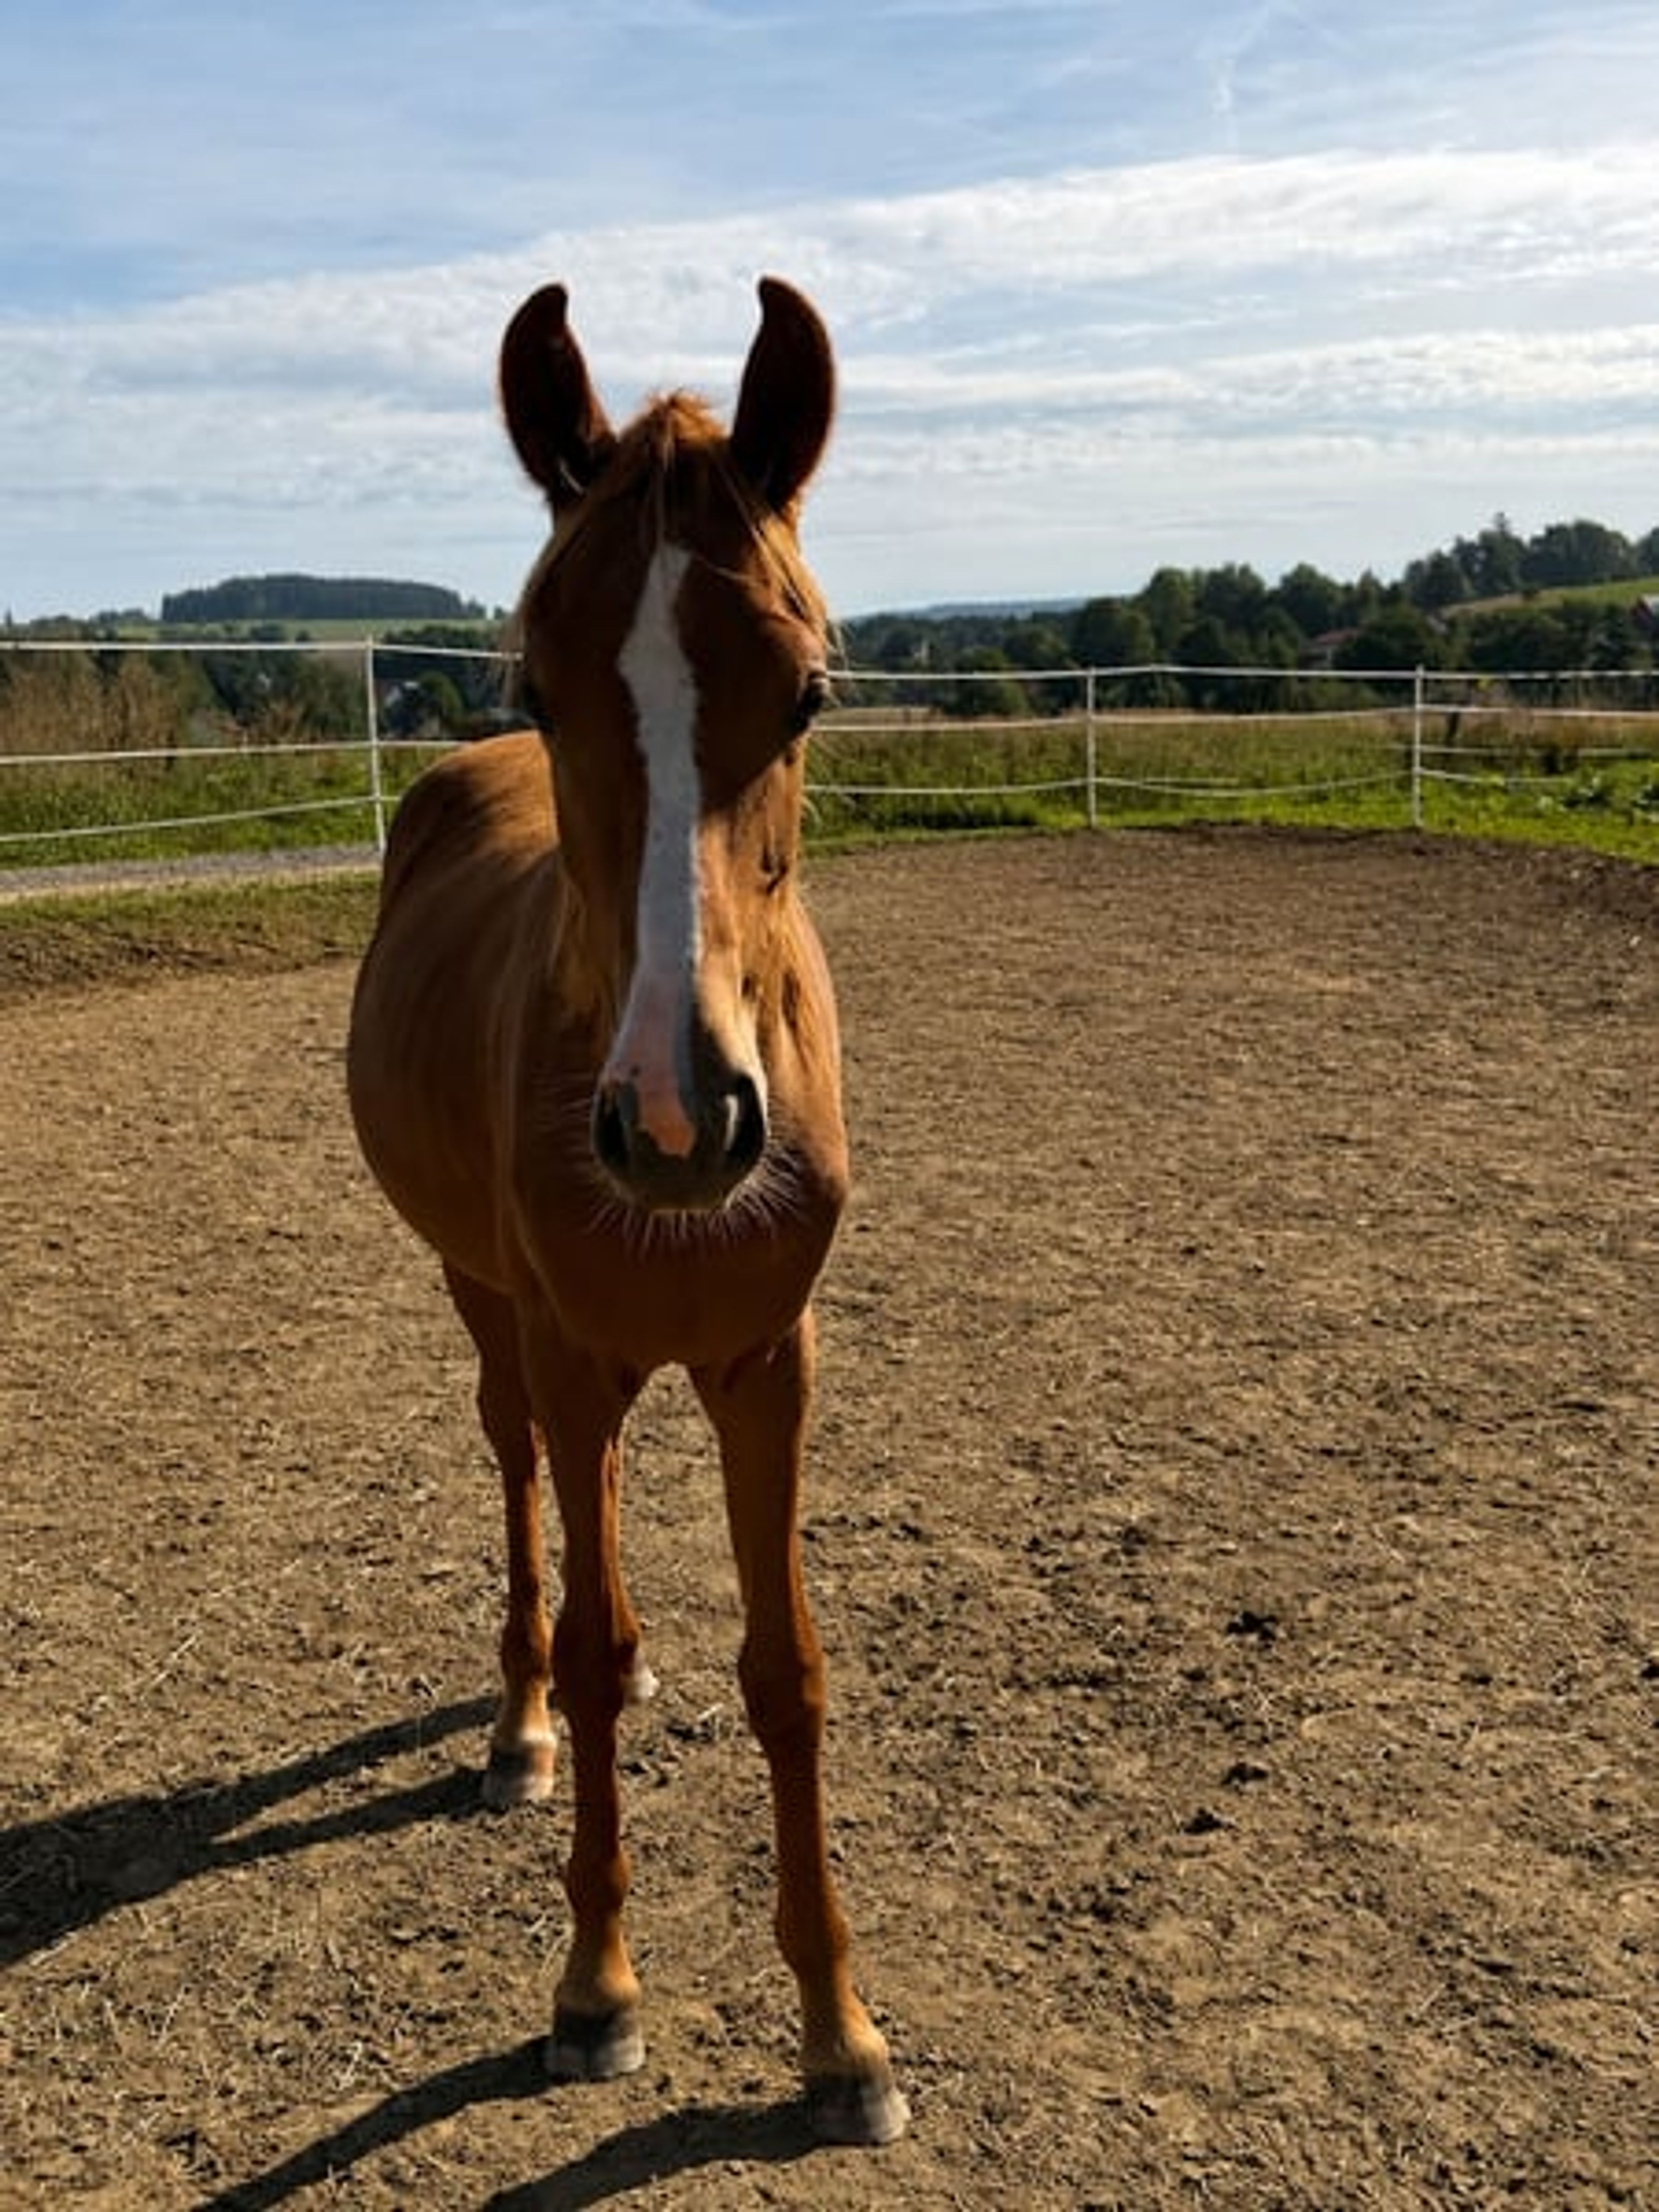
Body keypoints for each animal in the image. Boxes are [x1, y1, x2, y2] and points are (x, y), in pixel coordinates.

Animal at [345, 278, 907, 2147]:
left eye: (808, 694)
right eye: (538, 677)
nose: (678, 1121)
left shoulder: (769, 1363)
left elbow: (787, 1671)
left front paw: (841, 2033)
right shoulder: (577, 1351)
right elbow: (589, 1646)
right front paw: (595, 1989)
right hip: (486, 1306)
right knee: (522, 1477)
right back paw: (516, 1731)